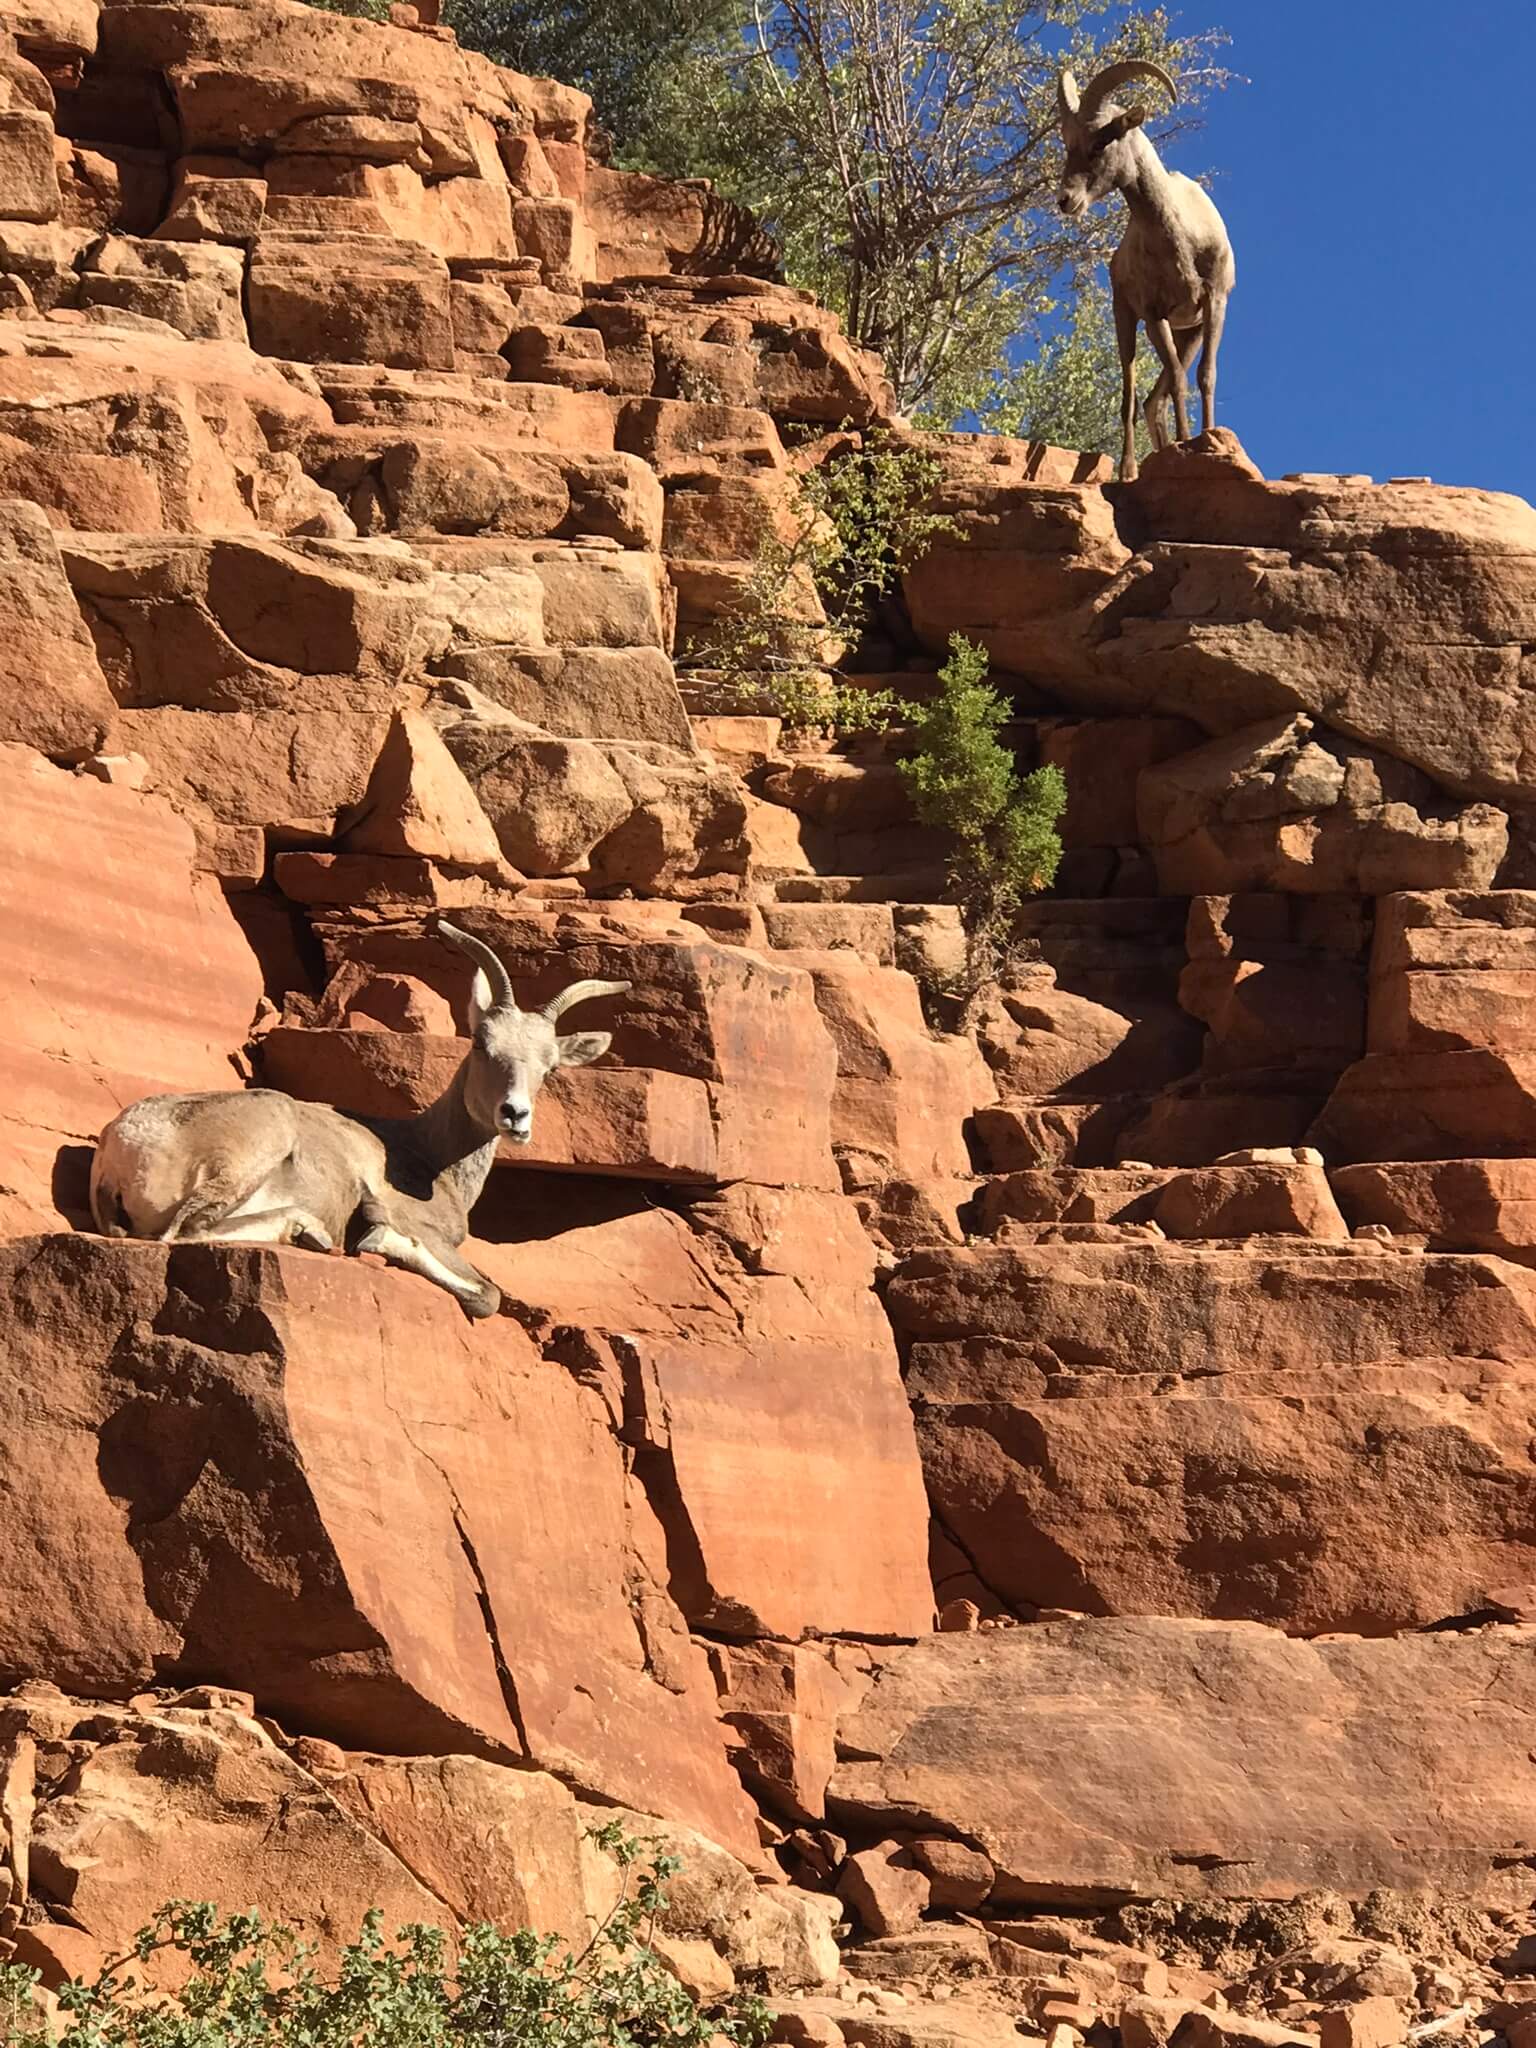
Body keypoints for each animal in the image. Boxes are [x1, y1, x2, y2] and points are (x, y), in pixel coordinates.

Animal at [88, 921, 630, 1318]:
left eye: (550, 1066)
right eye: (481, 1042)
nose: (515, 1115)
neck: (427, 1156)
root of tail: (118, 1146)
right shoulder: (425, 1228)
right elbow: (488, 1295)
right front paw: (376, 1231)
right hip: (255, 1147)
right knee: (181, 1232)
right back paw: (315, 1230)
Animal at [1056, 58, 1236, 479]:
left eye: (1100, 142)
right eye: (1068, 144)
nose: (1066, 200)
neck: (1181, 239)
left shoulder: (1213, 304)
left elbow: (1205, 376)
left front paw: (1205, 439)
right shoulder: (1154, 315)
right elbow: (1179, 383)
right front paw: (1187, 444)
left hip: (1188, 333)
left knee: (1155, 397)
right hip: (1126, 320)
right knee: (1132, 394)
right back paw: (1129, 469)